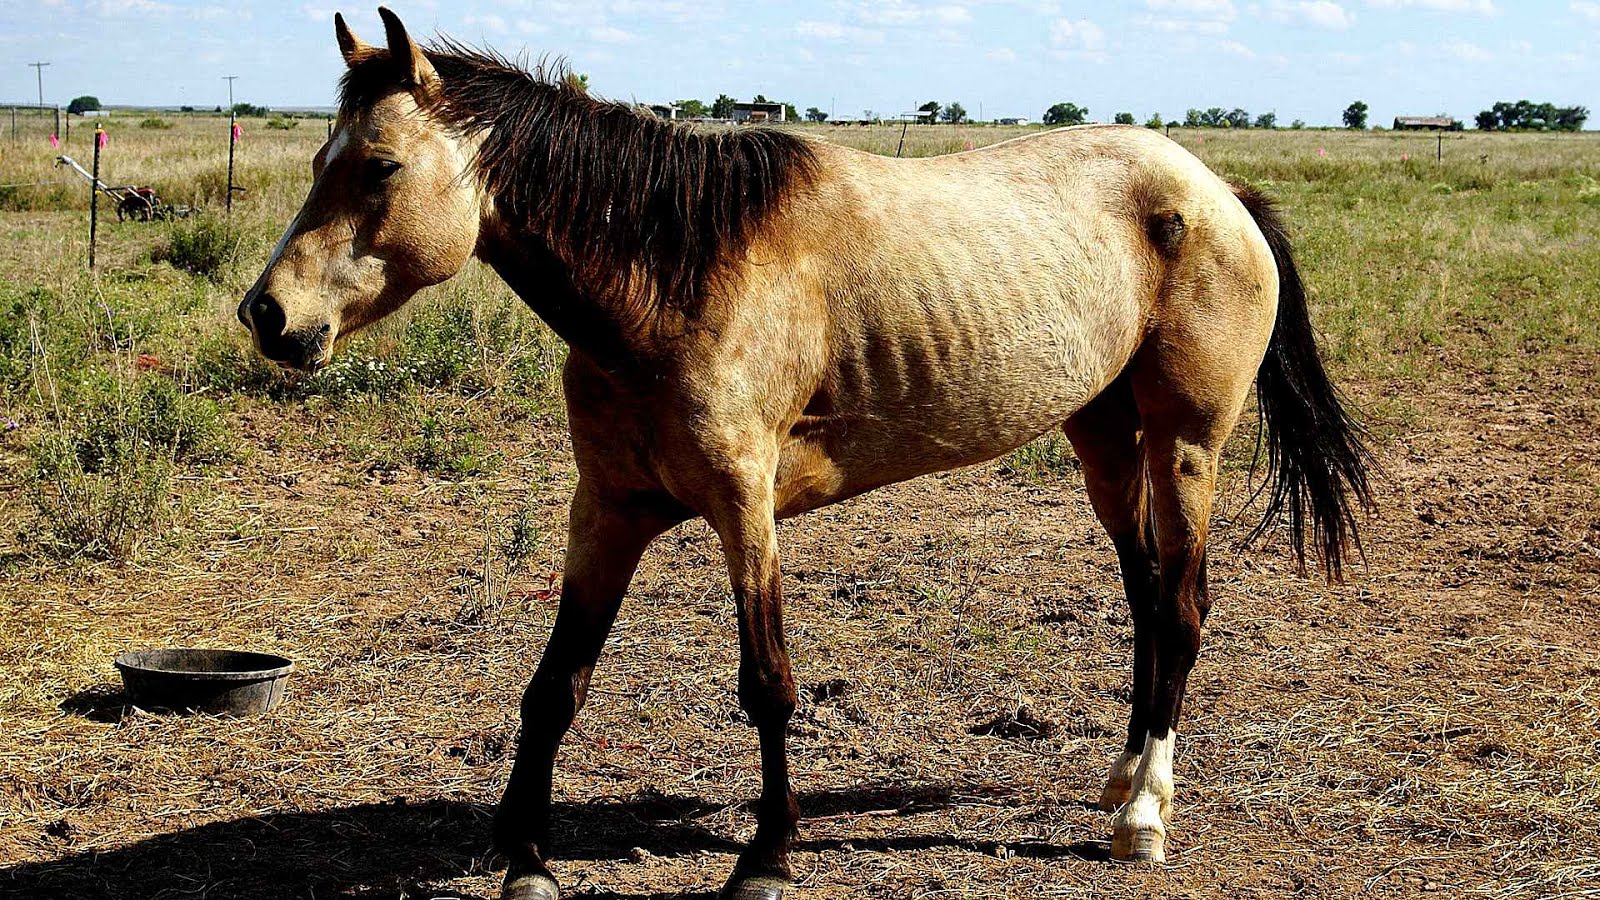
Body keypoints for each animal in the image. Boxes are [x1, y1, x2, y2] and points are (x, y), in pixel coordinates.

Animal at [237, 9, 1374, 899]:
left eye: (379, 166)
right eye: (319, 162)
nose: (268, 316)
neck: (674, 278)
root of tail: (1217, 190)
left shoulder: (746, 507)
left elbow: (766, 682)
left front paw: (767, 859)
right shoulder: (606, 509)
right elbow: (557, 683)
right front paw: (526, 860)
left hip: (1186, 444)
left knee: (1179, 605)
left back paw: (1144, 818)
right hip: (1103, 438)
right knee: (1142, 596)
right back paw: (1120, 780)